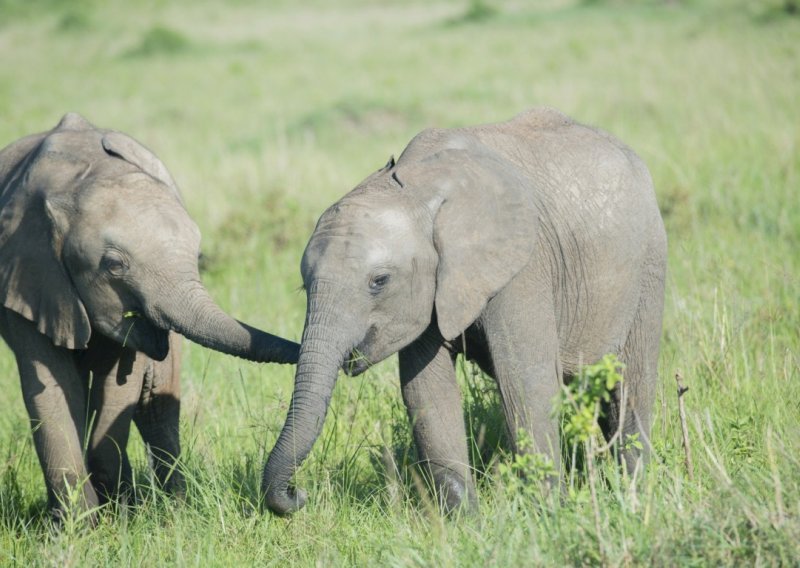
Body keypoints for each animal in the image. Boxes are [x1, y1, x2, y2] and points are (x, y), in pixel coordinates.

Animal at [0, 113, 300, 520]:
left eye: (198, 254)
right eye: (113, 265)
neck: (82, 179)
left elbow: (120, 385)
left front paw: (115, 513)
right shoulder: (26, 274)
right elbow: (48, 385)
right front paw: (78, 526)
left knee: (156, 407)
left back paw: (170, 510)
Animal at [262, 106, 668, 516]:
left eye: (379, 281)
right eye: (304, 287)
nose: (300, 494)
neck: (419, 188)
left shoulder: (523, 266)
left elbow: (525, 378)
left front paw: (547, 512)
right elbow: (426, 388)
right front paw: (464, 519)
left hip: (650, 263)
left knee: (631, 383)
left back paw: (633, 491)